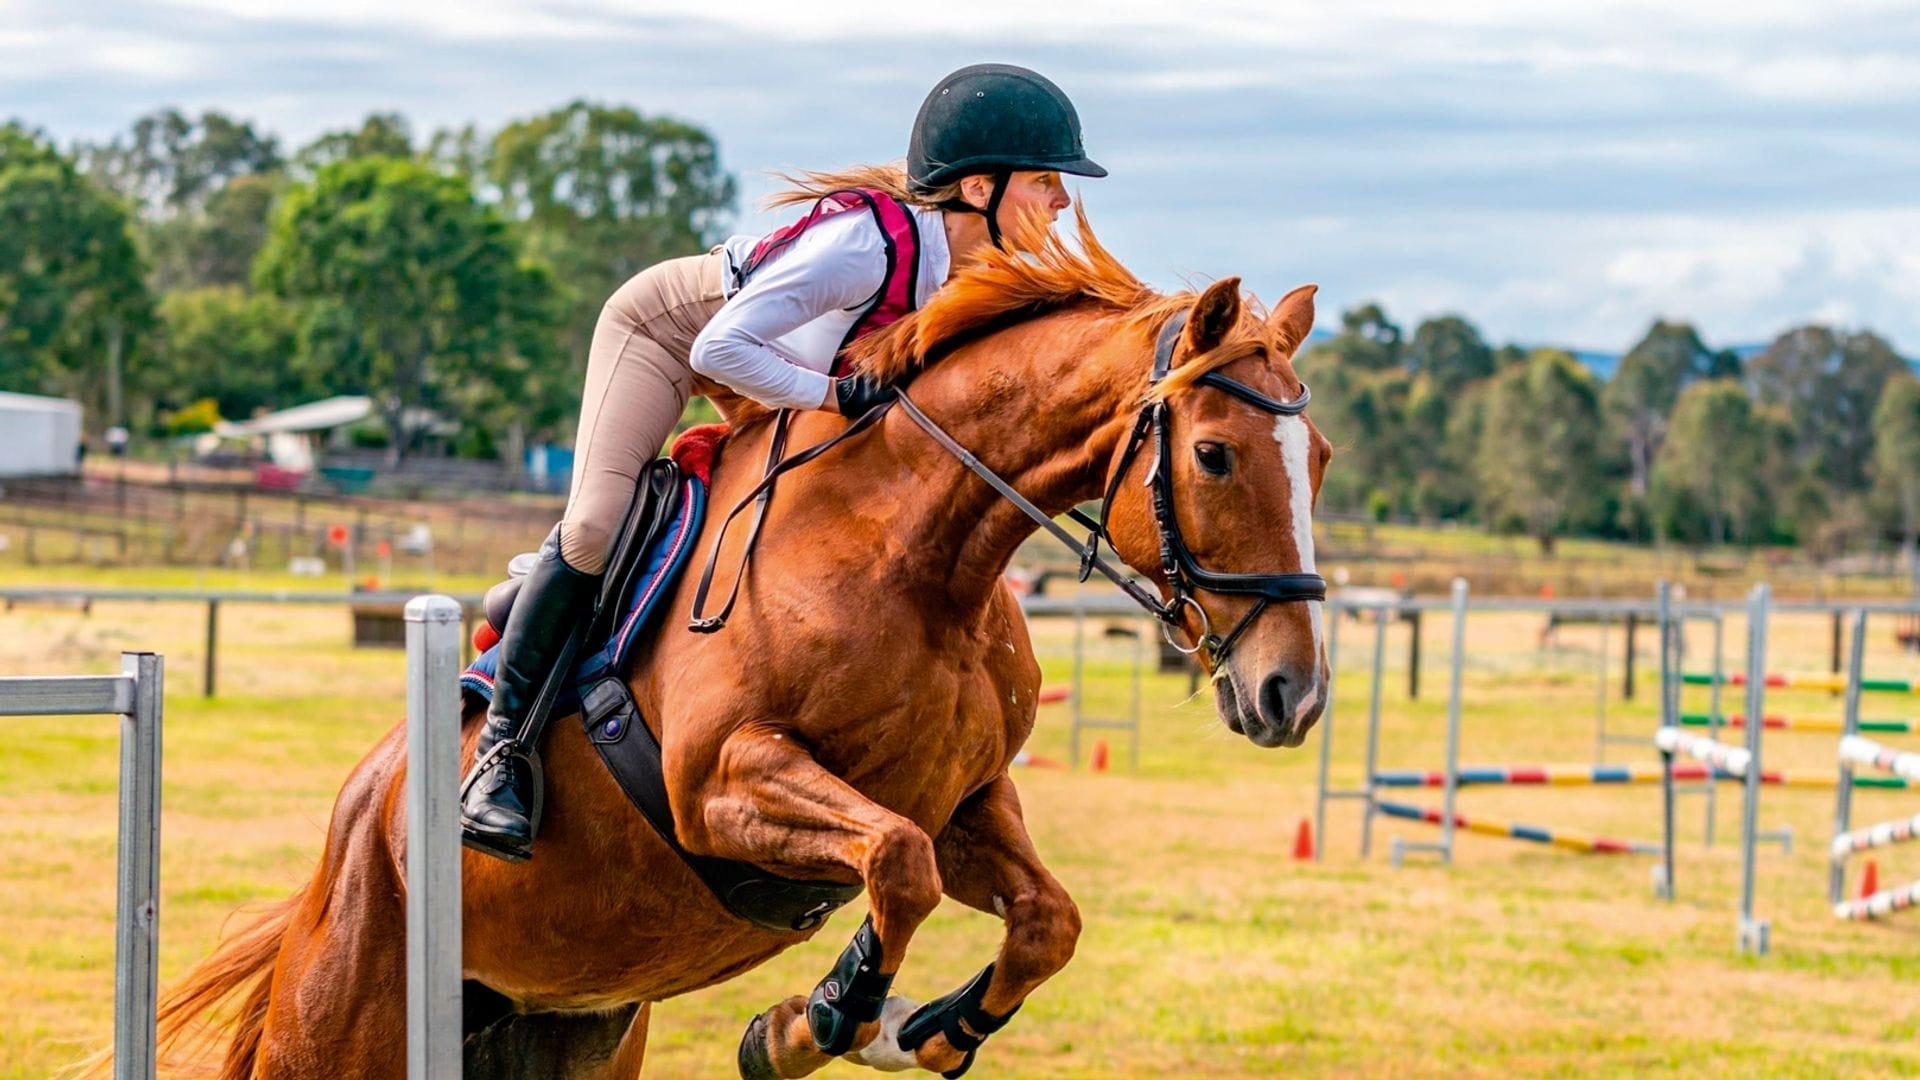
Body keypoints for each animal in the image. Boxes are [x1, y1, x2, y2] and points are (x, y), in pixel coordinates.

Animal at [145, 212, 1336, 1076]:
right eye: (1218, 455)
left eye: (1318, 456)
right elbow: (893, 867)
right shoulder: (721, 782)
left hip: (568, 1028)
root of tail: (354, 825)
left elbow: (1045, 917)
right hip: (339, 1025)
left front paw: (932, 1028)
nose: (1295, 693)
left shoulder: (962, 799)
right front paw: (823, 1019)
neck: (921, 561)